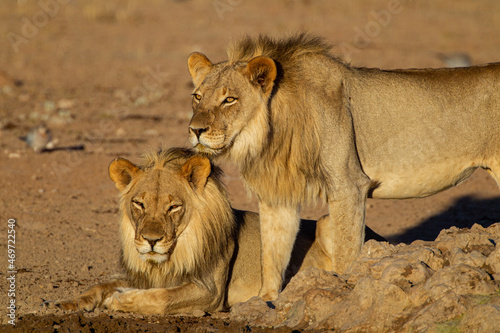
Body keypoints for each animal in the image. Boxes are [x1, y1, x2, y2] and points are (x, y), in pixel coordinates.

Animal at [54, 148, 380, 314]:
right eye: (139, 204)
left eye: (173, 207)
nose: (151, 241)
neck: (171, 255)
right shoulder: (147, 276)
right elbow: (101, 284)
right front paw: (70, 302)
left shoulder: (209, 291)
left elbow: (160, 299)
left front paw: (119, 299)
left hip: (326, 221)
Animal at [187, 34, 500, 300]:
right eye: (198, 97)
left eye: (229, 99)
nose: (195, 130)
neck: (268, 136)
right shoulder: (278, 195)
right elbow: (272, 254)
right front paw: (265, 301)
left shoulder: (348, 185)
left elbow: (347, 254)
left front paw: (345, 288)